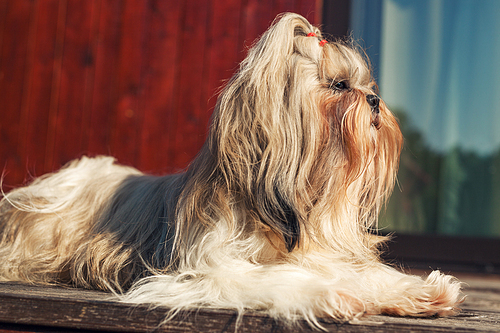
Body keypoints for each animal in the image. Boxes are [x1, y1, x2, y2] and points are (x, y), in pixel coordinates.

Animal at [0, 12, 460, 326]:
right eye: (339, 86)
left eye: (368, 85)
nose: (375, 101)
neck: (293, 208)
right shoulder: (208, 270)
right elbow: (282, 278)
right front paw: (337, 293)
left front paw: (420, 291)